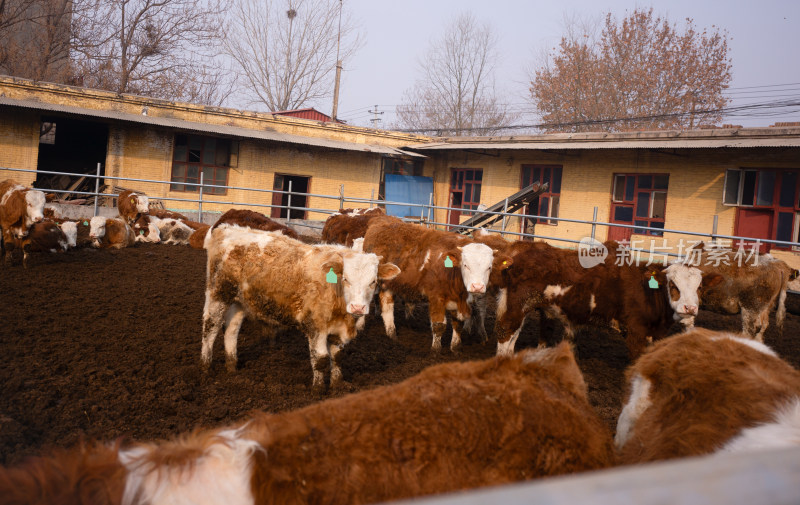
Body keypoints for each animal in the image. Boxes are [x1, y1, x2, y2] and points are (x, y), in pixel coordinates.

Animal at [360, 215, 510, 352]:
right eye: (465, 265)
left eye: (489, 267)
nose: (477, 287)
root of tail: (381, 221)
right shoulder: (436, 298)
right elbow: (439, 326)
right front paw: (436, 351)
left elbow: (458, 324)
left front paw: (455, 348)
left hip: (389, 284)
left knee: (387, 306)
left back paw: (392, 334)